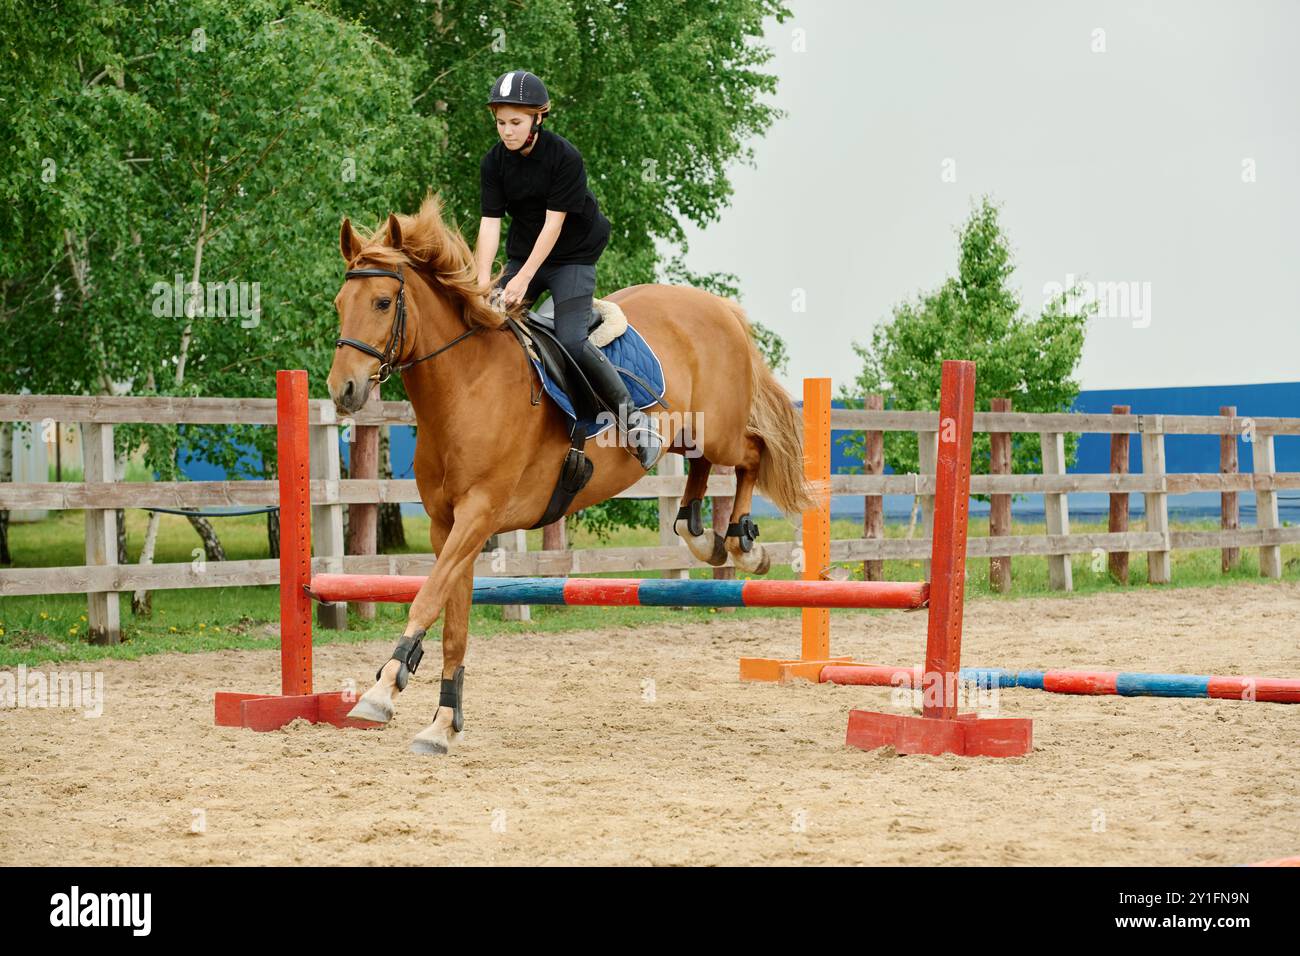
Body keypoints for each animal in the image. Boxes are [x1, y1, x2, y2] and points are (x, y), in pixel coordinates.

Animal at [330, 196, 806, 754]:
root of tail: (719, 308)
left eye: (383, 303)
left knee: (753, 452)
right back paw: (699, 534)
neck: (465, 385)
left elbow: (427, 599)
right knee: (702, 468)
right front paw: (443, 723)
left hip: (721, 430)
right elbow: (454, 624)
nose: (343, 390)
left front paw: (383, 688)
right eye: (339, 303)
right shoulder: (449, 526)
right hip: (690, 434)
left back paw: (741, 541)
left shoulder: (478, 515)